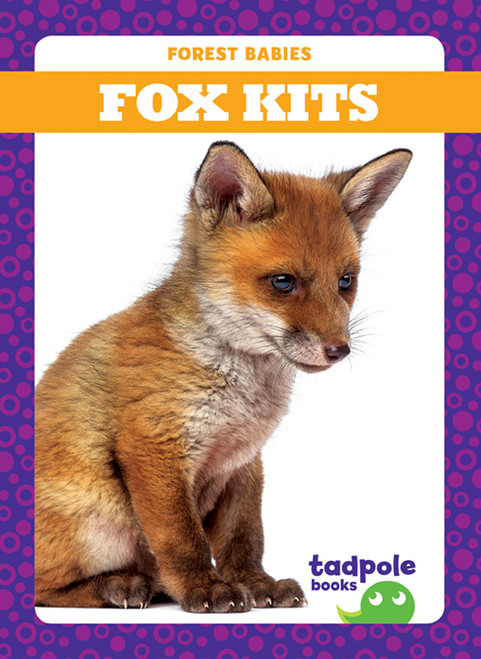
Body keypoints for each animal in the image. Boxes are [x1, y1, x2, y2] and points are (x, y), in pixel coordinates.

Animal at [35, 141, 412, 612]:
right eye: (283, 282)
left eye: (346, 281)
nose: (339, 350)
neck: (242, 392)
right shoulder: (154, 446)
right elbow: (183, 538)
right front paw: (205, 588)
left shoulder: (243, 461)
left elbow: (244, 537)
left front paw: (256, 584)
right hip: (101, 520)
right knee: (40, 587)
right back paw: (117, 585)